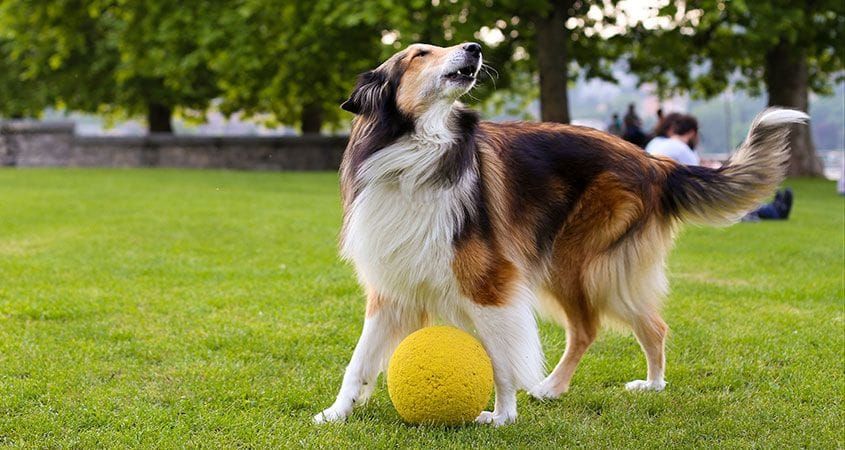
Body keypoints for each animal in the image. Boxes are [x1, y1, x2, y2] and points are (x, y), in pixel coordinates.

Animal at [314, 42, 808, 426]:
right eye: (419, 53)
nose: (475, 47)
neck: (416, 156)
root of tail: (654, 163)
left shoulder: (491, 283)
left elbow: (502, 358)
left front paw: (503, 416)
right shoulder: (393, 289)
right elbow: (359, 360)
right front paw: (337, 412)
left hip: (575, 262)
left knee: (601, 327)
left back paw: (575, 387)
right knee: (646, 324)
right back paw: (640, 385)